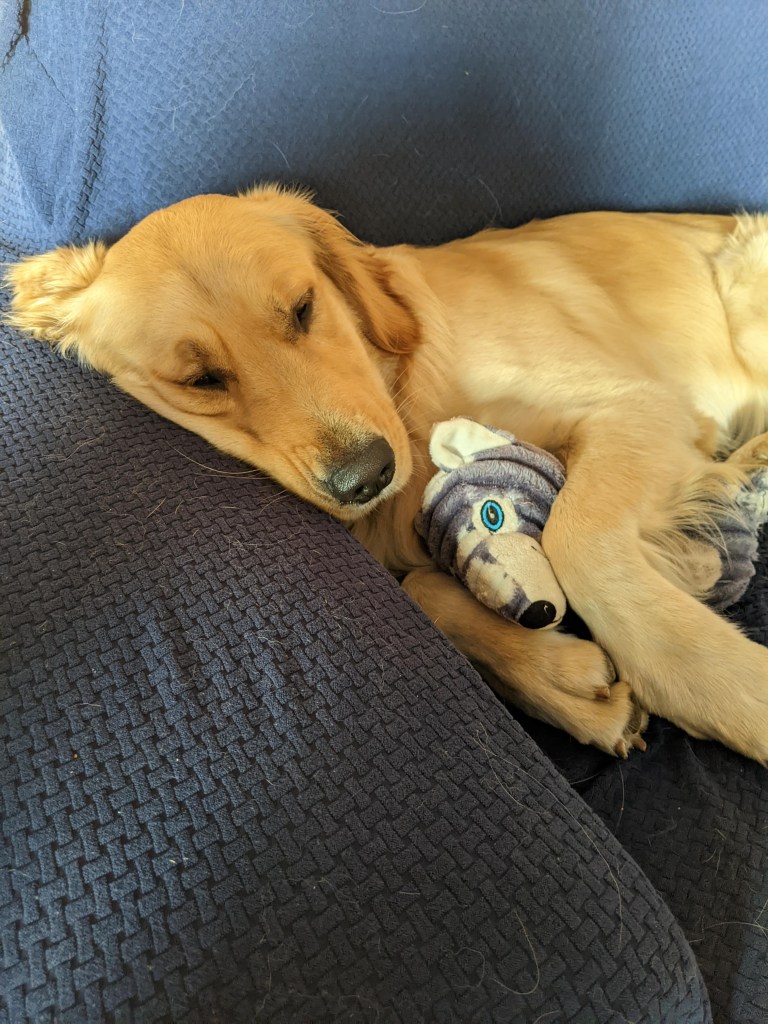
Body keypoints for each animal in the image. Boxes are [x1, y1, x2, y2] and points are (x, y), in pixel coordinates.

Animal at [7, 185, 768, 762]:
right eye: (200, 380)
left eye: (304, 308)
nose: (365, 477)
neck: (409, 396)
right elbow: (423, 589)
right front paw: (558, 678)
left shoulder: (637, 406)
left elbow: (576, 540)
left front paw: (725, 687)